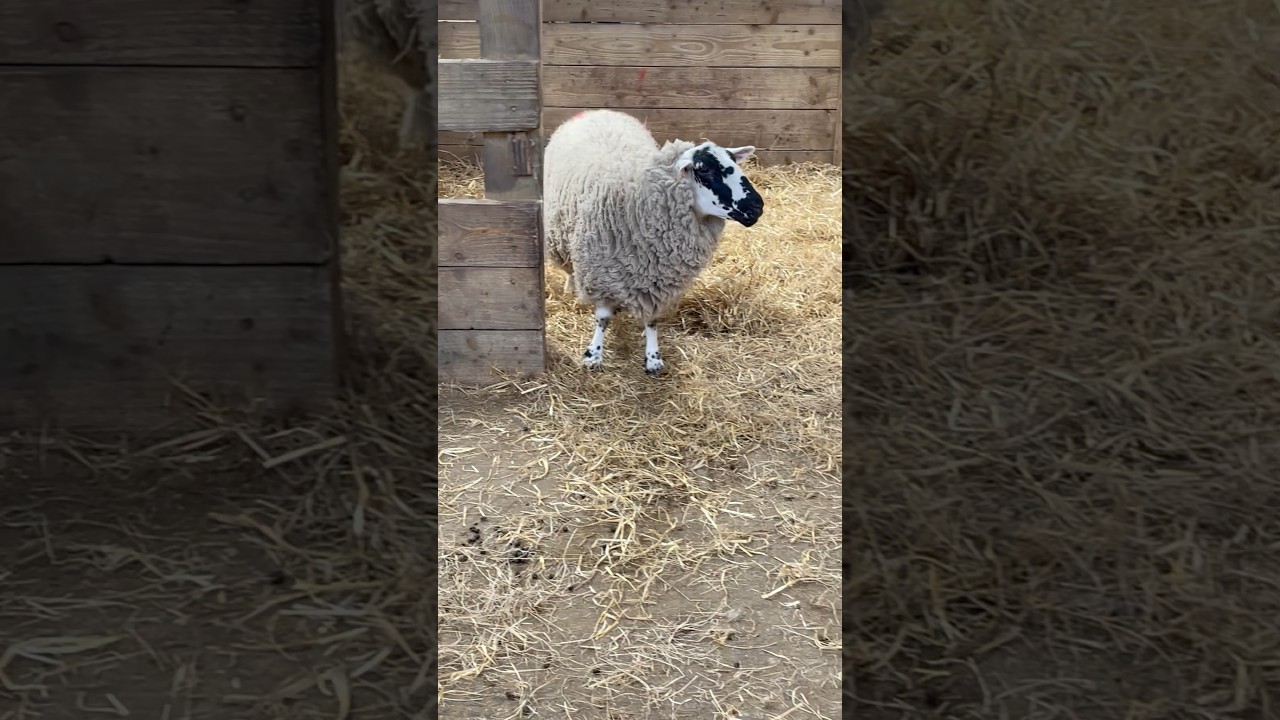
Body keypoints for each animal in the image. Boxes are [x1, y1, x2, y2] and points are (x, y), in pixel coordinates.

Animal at [543, 109, 766, 376]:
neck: (636, 200)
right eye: (704, 170)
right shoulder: (601, 272)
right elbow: (603, 318)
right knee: (569, 267)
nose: (757, 206)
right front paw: (593, 355)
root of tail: (597, 111)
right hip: (560, 234)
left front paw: (653, 358)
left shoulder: (656, 281)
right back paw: (571, 286)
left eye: (733, 163)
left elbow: (651, 320)